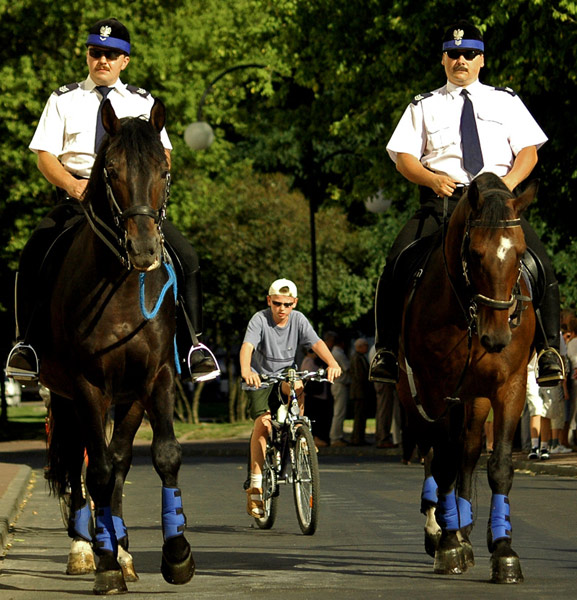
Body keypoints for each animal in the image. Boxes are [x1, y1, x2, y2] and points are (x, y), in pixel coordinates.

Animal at [40, 99, 196, 596]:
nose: (144, 248)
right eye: (110, 169)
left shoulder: (155, 377)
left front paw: (176, 553)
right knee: (81, 464)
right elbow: (99, 471)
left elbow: (159, 456)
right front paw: (105, 562)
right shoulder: (88, 385)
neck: (125, 288)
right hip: (65, 396)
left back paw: (122, 547)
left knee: (118, 461)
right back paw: (89, 548)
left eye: (164, 169)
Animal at [396, 173, 536, 584]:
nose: (497, 336)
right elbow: (441, 462)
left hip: (474, 400)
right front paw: (447, 545)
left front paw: (503, 551)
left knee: (468, 453)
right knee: (432, 452)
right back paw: (442, 528)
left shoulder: (509, 387)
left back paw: (465, 527)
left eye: (519, 252)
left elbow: (499, 465)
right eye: (474, 253)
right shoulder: (434, 390)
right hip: (415, 397)